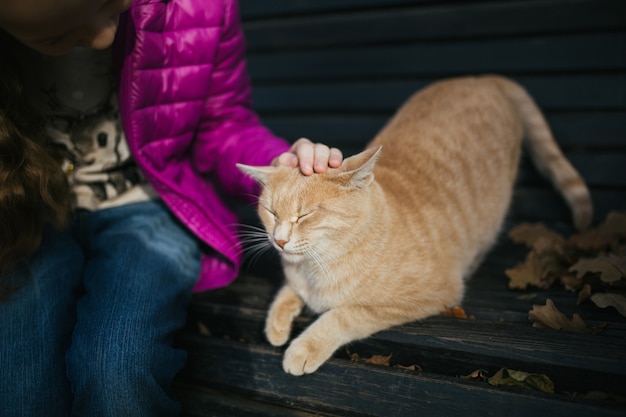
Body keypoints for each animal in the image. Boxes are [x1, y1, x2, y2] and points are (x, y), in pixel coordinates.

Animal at [235, 75, 588, 376]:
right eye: (271, 212)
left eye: (305, 215)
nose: (279, 241)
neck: (318, 268)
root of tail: (480, 77)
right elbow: (287, 291)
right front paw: (276, 325)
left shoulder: (428, 295)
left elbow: (345, 314)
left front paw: (303, 347)